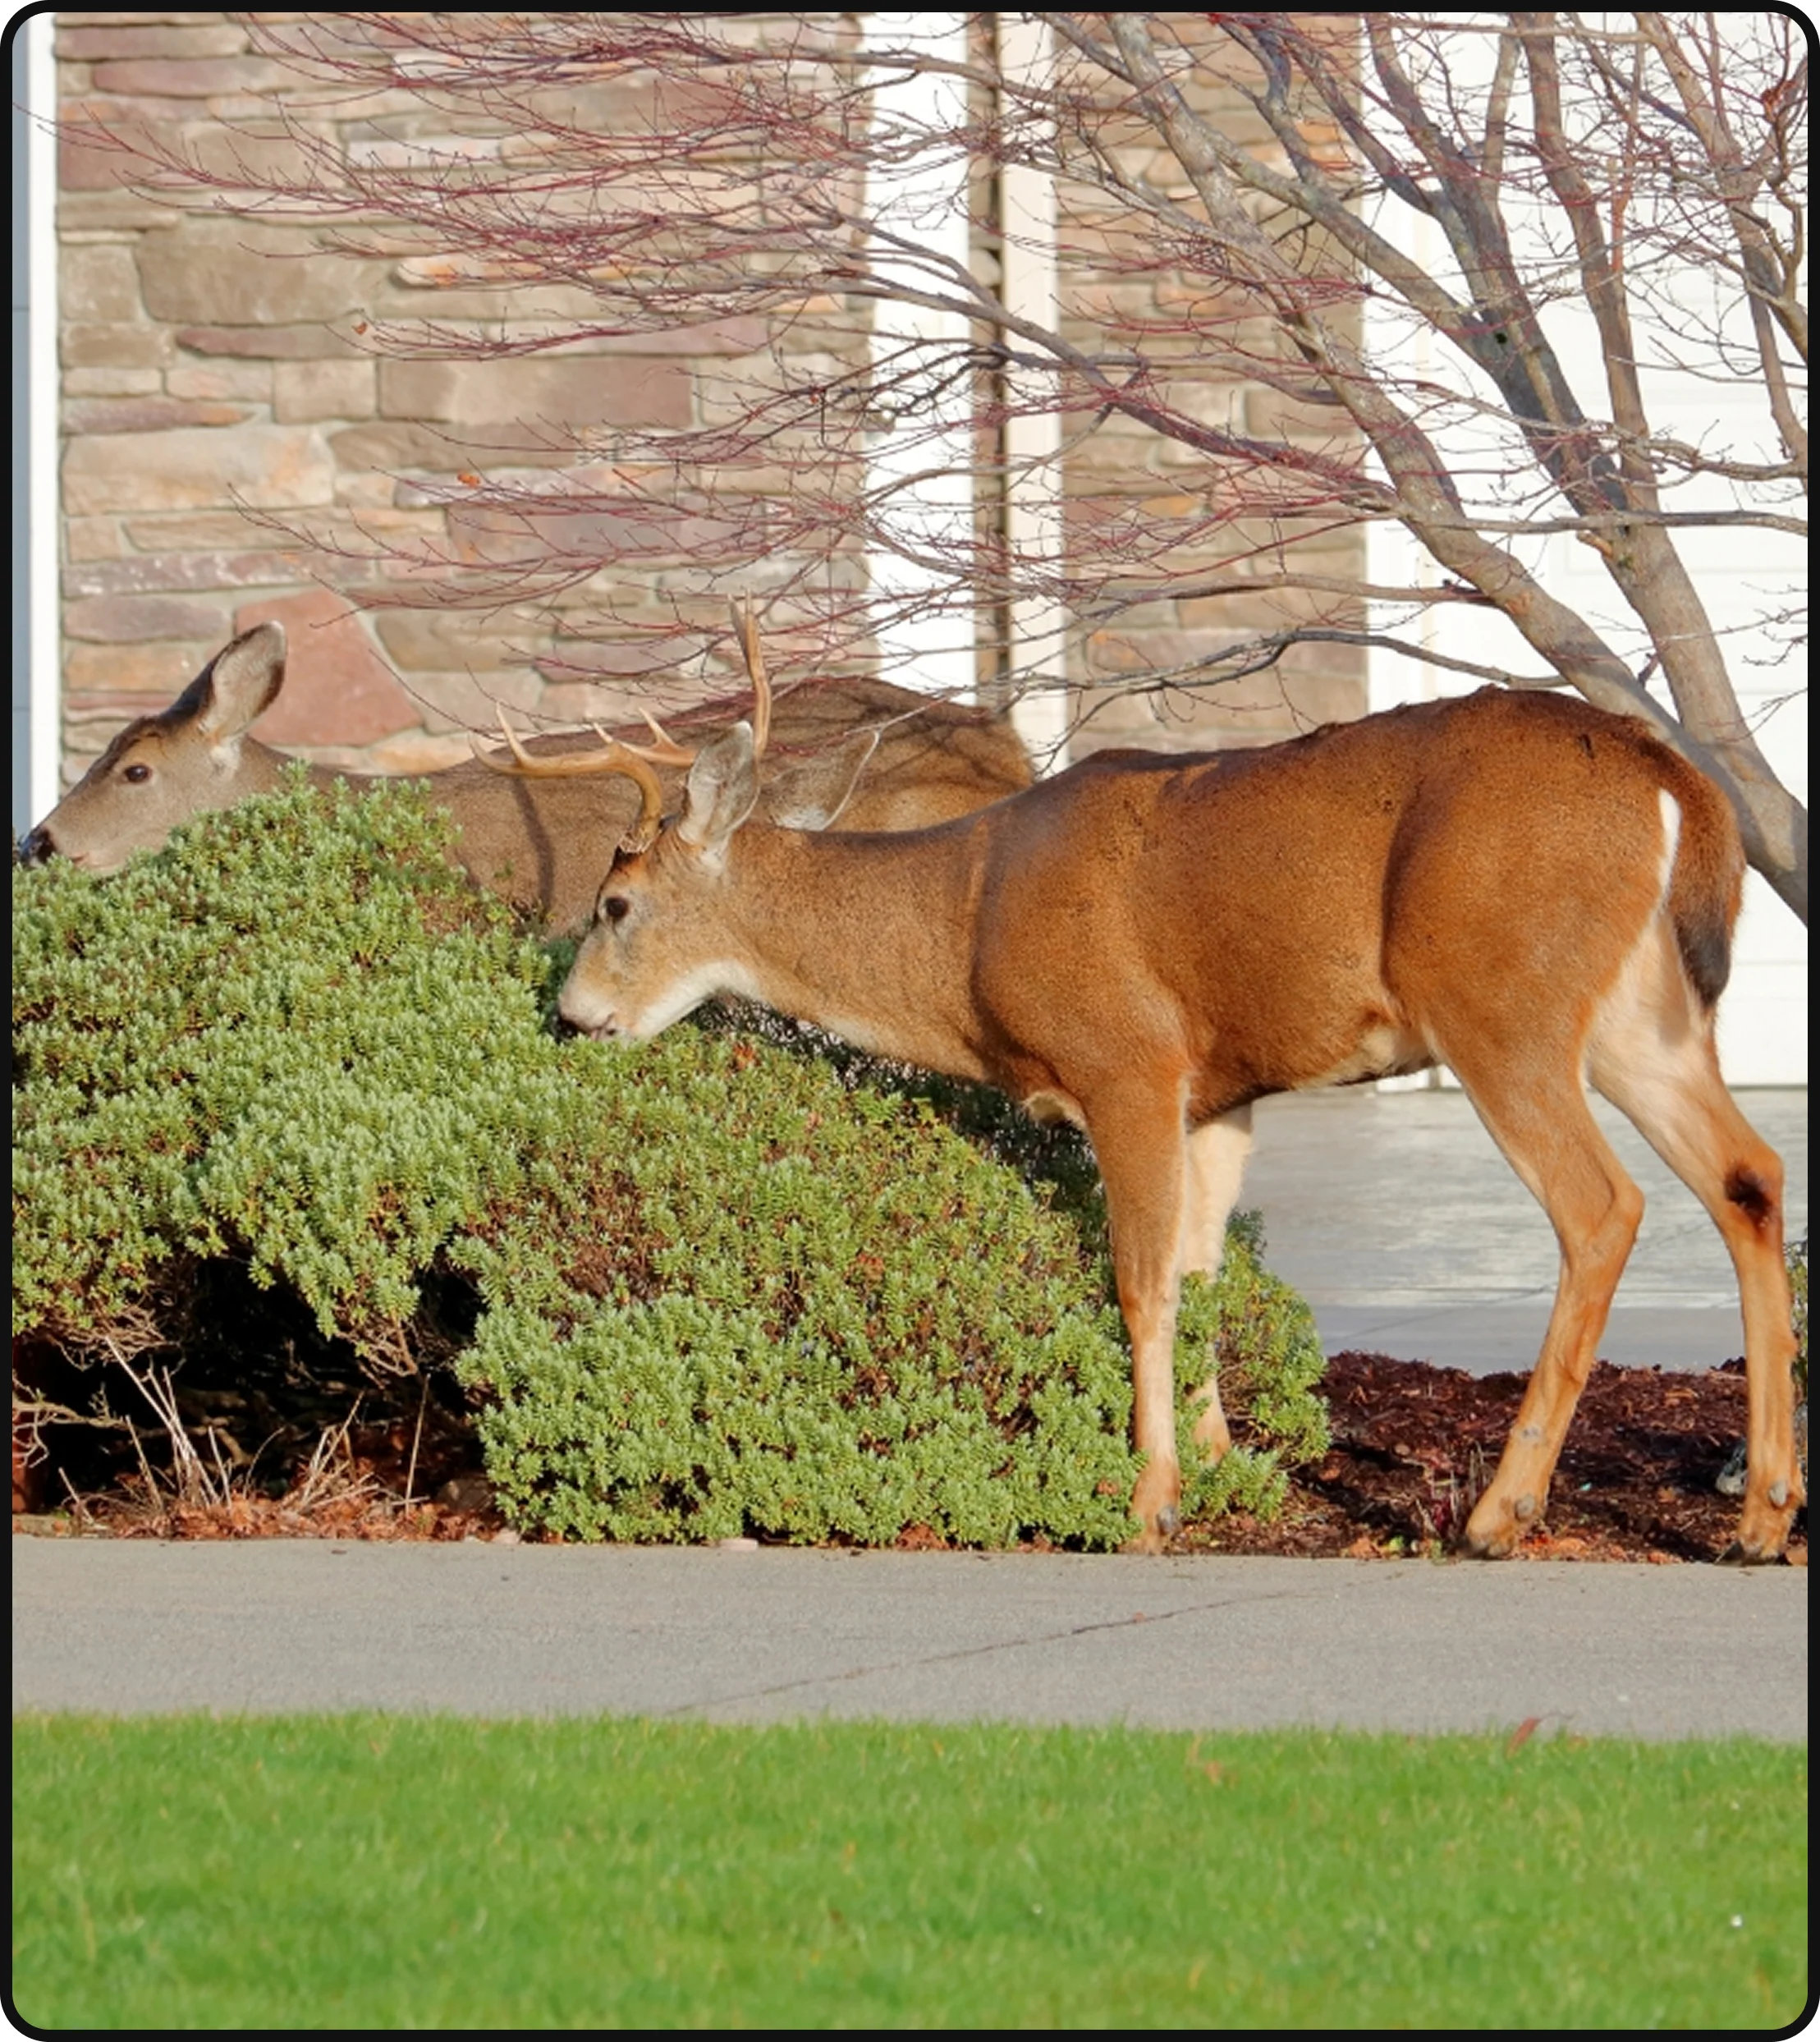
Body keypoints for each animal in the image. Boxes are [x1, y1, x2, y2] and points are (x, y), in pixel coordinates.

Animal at [533, 606, 1801, 1562]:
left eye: (615, 904)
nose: (570, 1014)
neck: (964, 922)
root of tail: (1673, 778)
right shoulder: (1219, 1091)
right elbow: (1197, 1272)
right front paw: (1225, 1468)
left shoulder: (1127, 1058)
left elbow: (1140, 1280)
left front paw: (1148, 1502)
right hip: (1643, 1015)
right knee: (1749, 1174)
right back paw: (1760, 1515)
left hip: (1501, 999)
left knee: (1603, 1206)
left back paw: (1502, 1512)